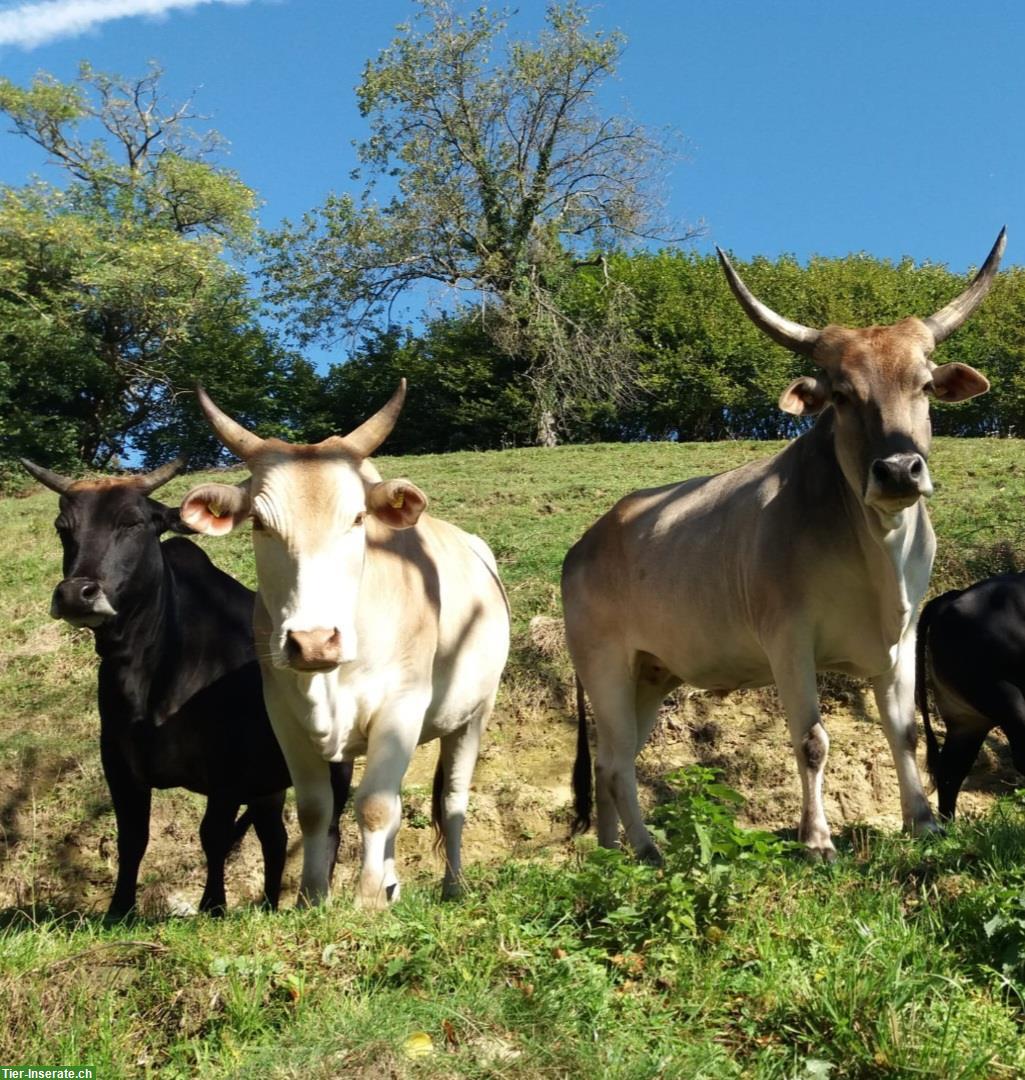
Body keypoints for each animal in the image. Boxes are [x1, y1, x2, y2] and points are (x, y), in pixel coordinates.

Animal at [21, 455, 352, 920]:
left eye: (133, 522)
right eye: (63, 527)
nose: (76, 593)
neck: (149, 676)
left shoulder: (228, 767)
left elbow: (213, 834)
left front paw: (213, 904)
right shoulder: (118, 762)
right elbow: (132, 837)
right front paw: (120, 909)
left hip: (335, 761)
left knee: (329, 826)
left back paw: (314, 898)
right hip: (270, 783)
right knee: (275, 838)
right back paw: (270, 903)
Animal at [181, 384, 509, 907]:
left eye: (357, 518)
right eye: (259, 523)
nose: (313, 641)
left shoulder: (402, 703)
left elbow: (374, 805)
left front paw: (366, 899)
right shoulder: (284, 715)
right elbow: (317, 809)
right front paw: (313, 896)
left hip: (475, 712)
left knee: (452, 799)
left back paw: (452, 886)